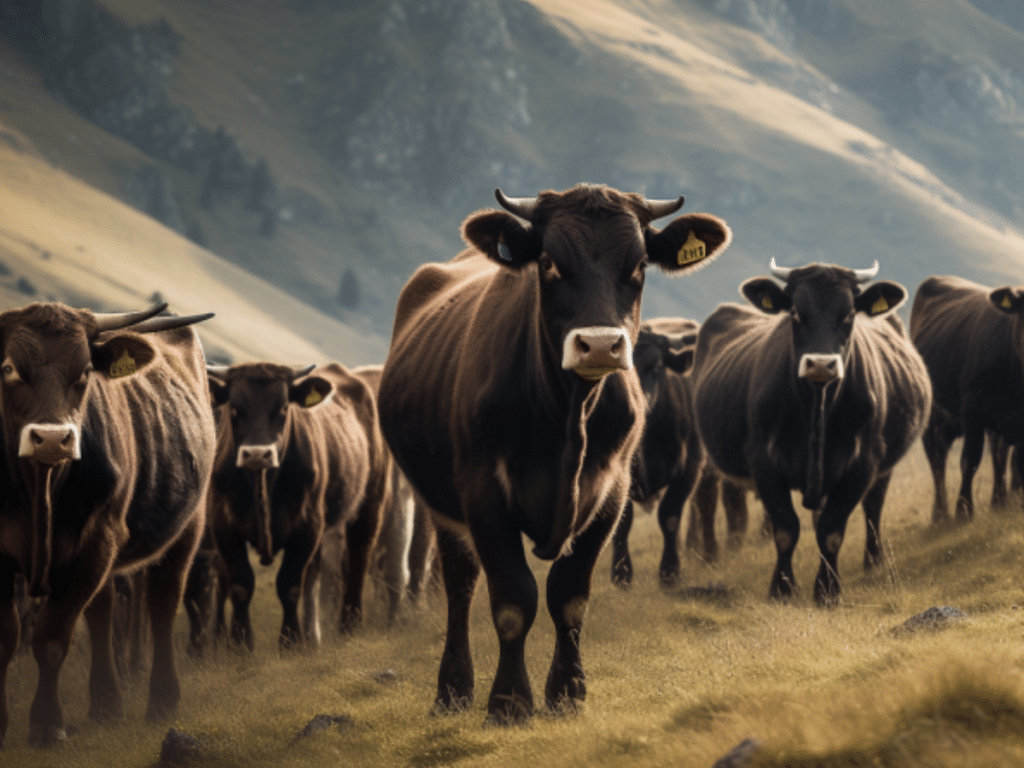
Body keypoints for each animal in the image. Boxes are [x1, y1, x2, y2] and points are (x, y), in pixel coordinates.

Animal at [0, 302, 216, 746]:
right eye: (9, 368)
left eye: (84, 371)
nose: (52, 439)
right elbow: (7, 638)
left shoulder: (95, 542)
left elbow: (51, 637)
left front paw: (48, 726)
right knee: (102, 612)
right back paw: (105, 705)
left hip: (187, 528)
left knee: (162, 603)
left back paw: (161, 700)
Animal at [205, 361, 389, 651]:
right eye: (234, 408)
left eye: (283, 408)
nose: (257, 454)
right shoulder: (223, 525)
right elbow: (240, 585)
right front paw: (240, 643)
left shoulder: (306, 526)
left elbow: (289, 585)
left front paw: (290, 642)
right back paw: (313, 637)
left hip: (369, 506)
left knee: (356, 562)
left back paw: (349, 625)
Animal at [610, 318, 704, 587]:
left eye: (656, 367)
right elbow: (623, 523)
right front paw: (621, 574)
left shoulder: (689, 468)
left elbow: (669, 516)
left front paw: (670, 571)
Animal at [692, 261, 931, 605]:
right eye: (795, 312)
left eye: (849, 314)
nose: (821, 364)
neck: (817, 408)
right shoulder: (763, 460)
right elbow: (785, 530)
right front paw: (782, 589)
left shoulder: (864, 461)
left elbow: (831, 531)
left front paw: (827, 590)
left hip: (883, 467)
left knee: (873, 508)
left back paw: (873, 561)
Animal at [910, 275, 1024, 522]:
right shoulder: (972, 410)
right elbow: (970, 460)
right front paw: (963, 510)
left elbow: (1015, 460)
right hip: (934, 418)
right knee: (937, 459)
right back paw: (940, 514)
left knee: (999, 453)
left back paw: (999, 501)